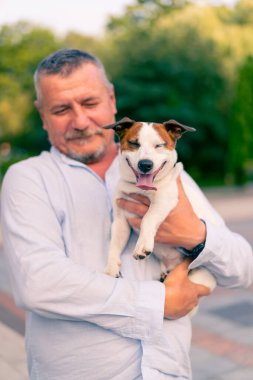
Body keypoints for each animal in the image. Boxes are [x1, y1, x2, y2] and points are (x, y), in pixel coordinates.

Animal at [104, 117, 216, 296]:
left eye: (159, 145)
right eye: (134, 143)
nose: (145, 164)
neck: (141, 189)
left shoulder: (164, 201)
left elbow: (148, 219)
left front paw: (142, 246)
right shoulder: (121, 220)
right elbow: (114, 243)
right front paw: (111, 267)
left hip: (201, 276)